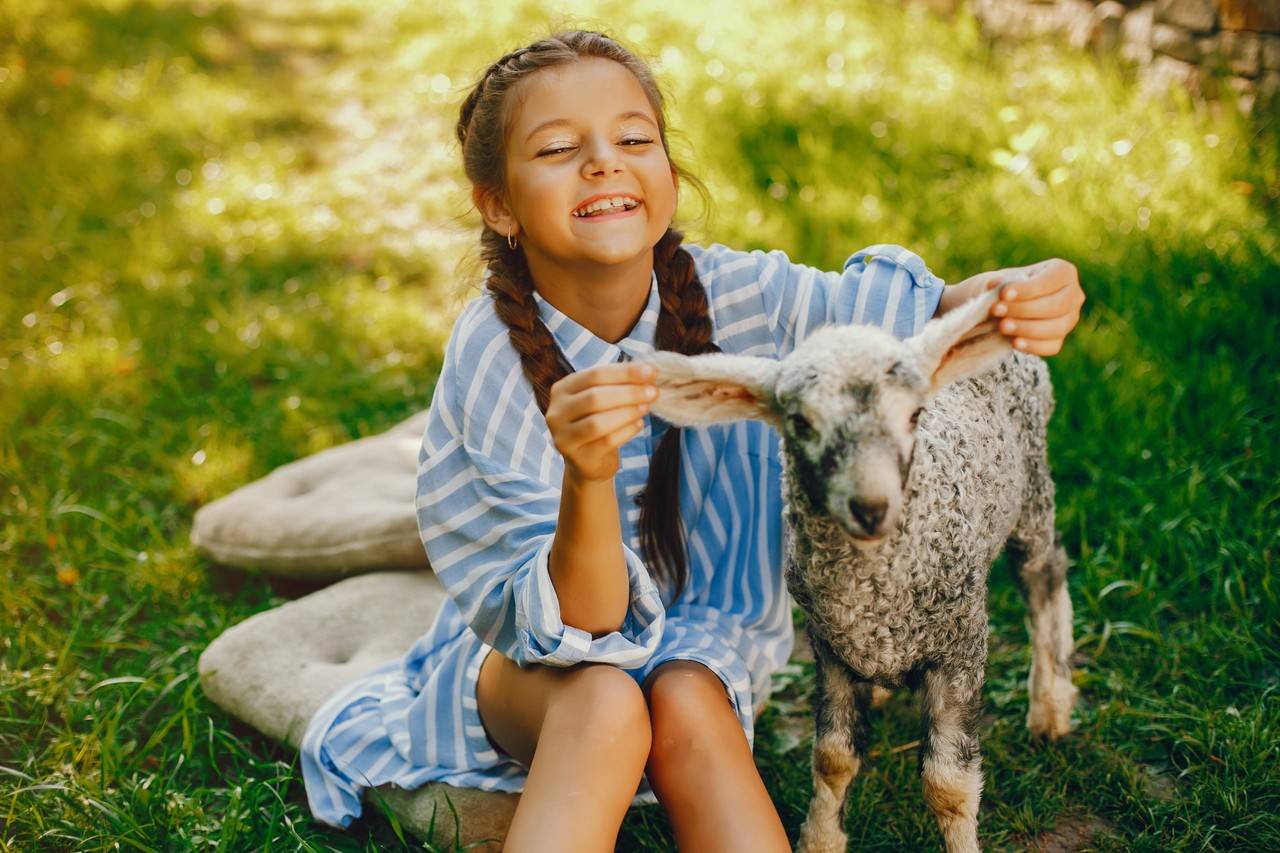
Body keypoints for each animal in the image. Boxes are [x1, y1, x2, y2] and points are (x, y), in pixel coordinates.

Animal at [645, 281, 1075, 845]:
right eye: (800, 423)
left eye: (915, 415)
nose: (871, 507)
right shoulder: (828, 647)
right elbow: (833, 758)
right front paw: (820, 840)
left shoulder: (961, 644)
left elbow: (948, 784)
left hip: (1032, 495)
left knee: (1045, 577)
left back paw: (1050, 709)